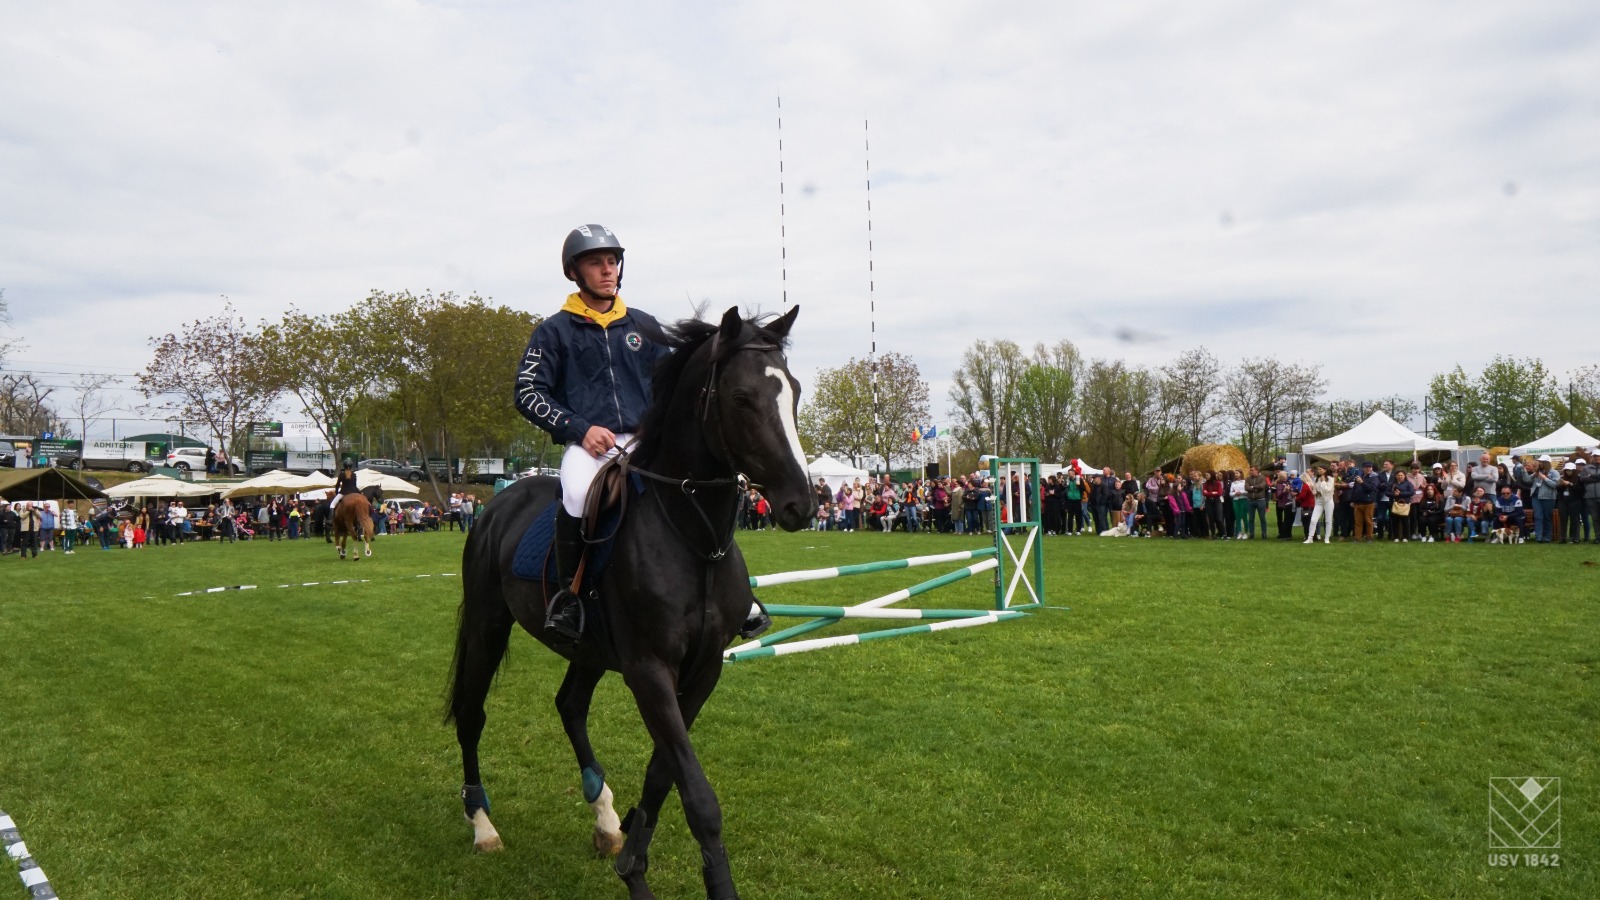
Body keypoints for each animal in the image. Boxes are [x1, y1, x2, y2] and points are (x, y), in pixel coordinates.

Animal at [446, 306, 811, 900]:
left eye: (793, 391)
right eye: (741, 398)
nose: (803, 503)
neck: (692, 539)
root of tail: (497, 501)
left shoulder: (703, 670)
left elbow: (665, 772)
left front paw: (632, 857)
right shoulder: (649, 670)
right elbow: (698, 796)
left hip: (589, 650)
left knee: (570, 705)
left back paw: (605, 818)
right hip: (487, 625)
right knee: (472, 714)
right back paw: (482, 824)